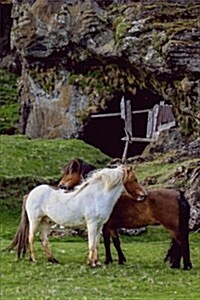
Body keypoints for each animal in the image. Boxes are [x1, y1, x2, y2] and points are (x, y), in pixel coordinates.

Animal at [8, 166, 146, 268]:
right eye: (134, 179)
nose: (144, 195)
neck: (97, 196)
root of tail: (30, 193)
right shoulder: (92, 224)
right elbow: (91, 244)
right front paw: (92, 263)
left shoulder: (99, 226)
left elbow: (96, 243)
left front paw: (97, 262)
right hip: (35, 220)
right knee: (31, 237)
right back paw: (33, 259)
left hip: (47, 221)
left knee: (43, 239)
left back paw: (52, 259)